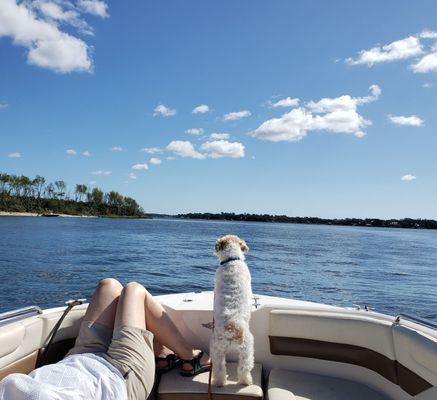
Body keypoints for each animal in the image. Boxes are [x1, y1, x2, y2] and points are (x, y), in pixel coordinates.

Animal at [209, 236, 254, 386]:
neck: (232, 260)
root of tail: (232, 327)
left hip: (218, 349)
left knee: (220, 368)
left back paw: (220, 382)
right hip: (246, 348)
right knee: (243, 368)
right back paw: (245, 381)